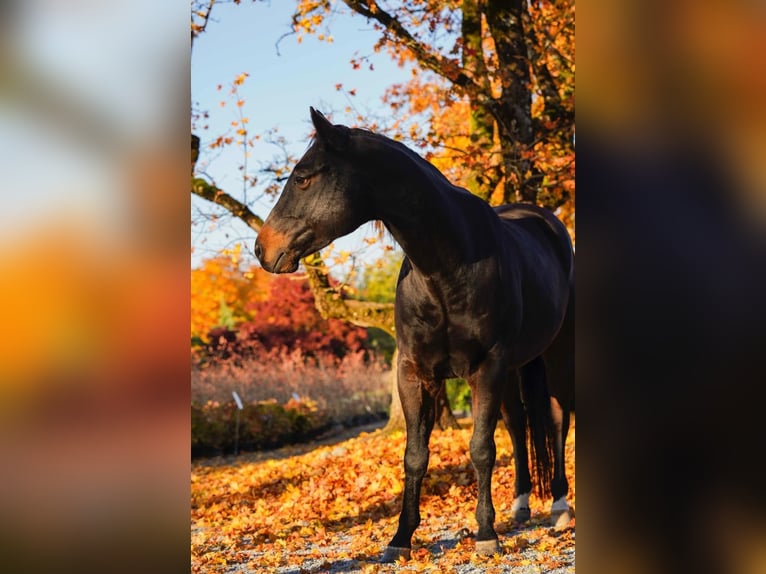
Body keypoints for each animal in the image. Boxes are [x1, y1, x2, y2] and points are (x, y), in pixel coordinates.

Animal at [254, 108, 574, 561]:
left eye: (302, 178)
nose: (261, 249)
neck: (447, 267)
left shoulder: (487, 367)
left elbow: (481, 448)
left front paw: (485, 534)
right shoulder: (413, 372)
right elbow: (415, 455)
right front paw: (400, 538)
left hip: (555, 354)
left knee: (558, 418)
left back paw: (560, 505)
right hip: (515, 368)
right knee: (517, 423)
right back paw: (521, 504)